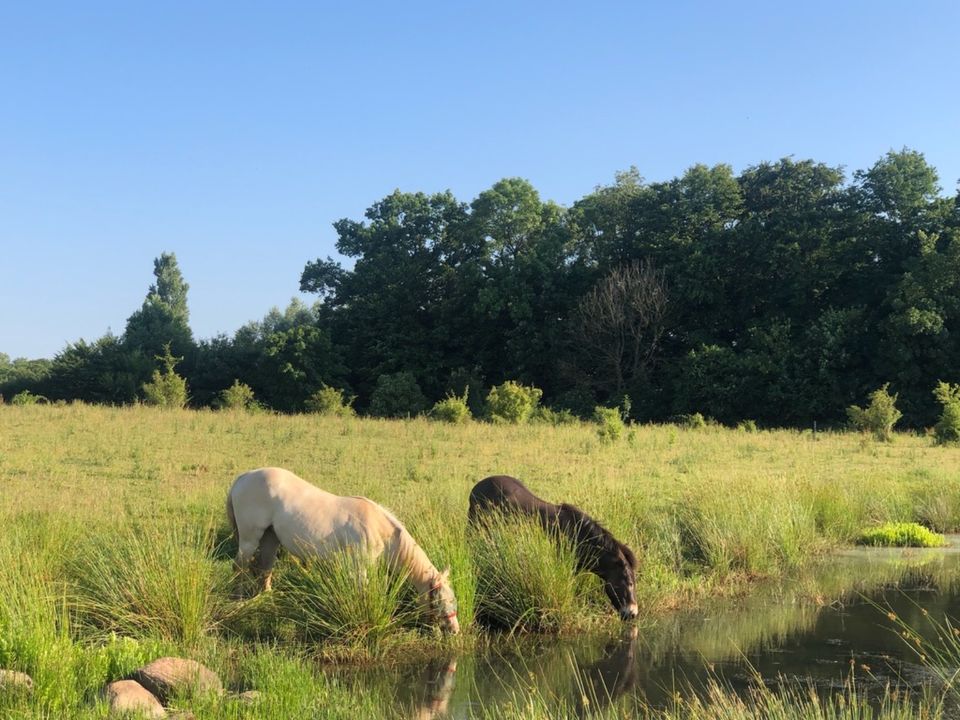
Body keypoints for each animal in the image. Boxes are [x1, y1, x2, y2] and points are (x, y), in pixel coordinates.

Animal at [229, 464, 462, 632]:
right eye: (441, 601)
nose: (454, 630)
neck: (380, 530)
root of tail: (244, 477)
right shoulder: (359, 569)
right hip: (250, 538)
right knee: (240, 567)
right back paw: (237, 601)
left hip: (271, 538)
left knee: (265, 566)